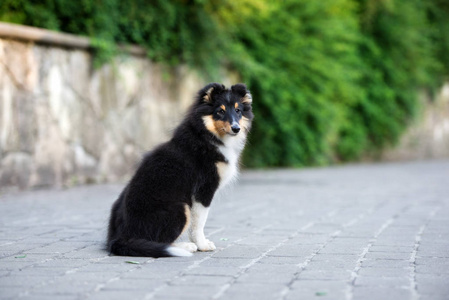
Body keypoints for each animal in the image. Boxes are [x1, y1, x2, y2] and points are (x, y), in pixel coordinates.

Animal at [105, 83, 252, 256]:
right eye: (220, 111)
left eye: (238, 110)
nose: (236, 128)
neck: (207, 136)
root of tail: (120, 239)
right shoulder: (203, 191)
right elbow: (199, 222)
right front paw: (202, 245)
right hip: (180, 208)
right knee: (160, 241)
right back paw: (186, 247)